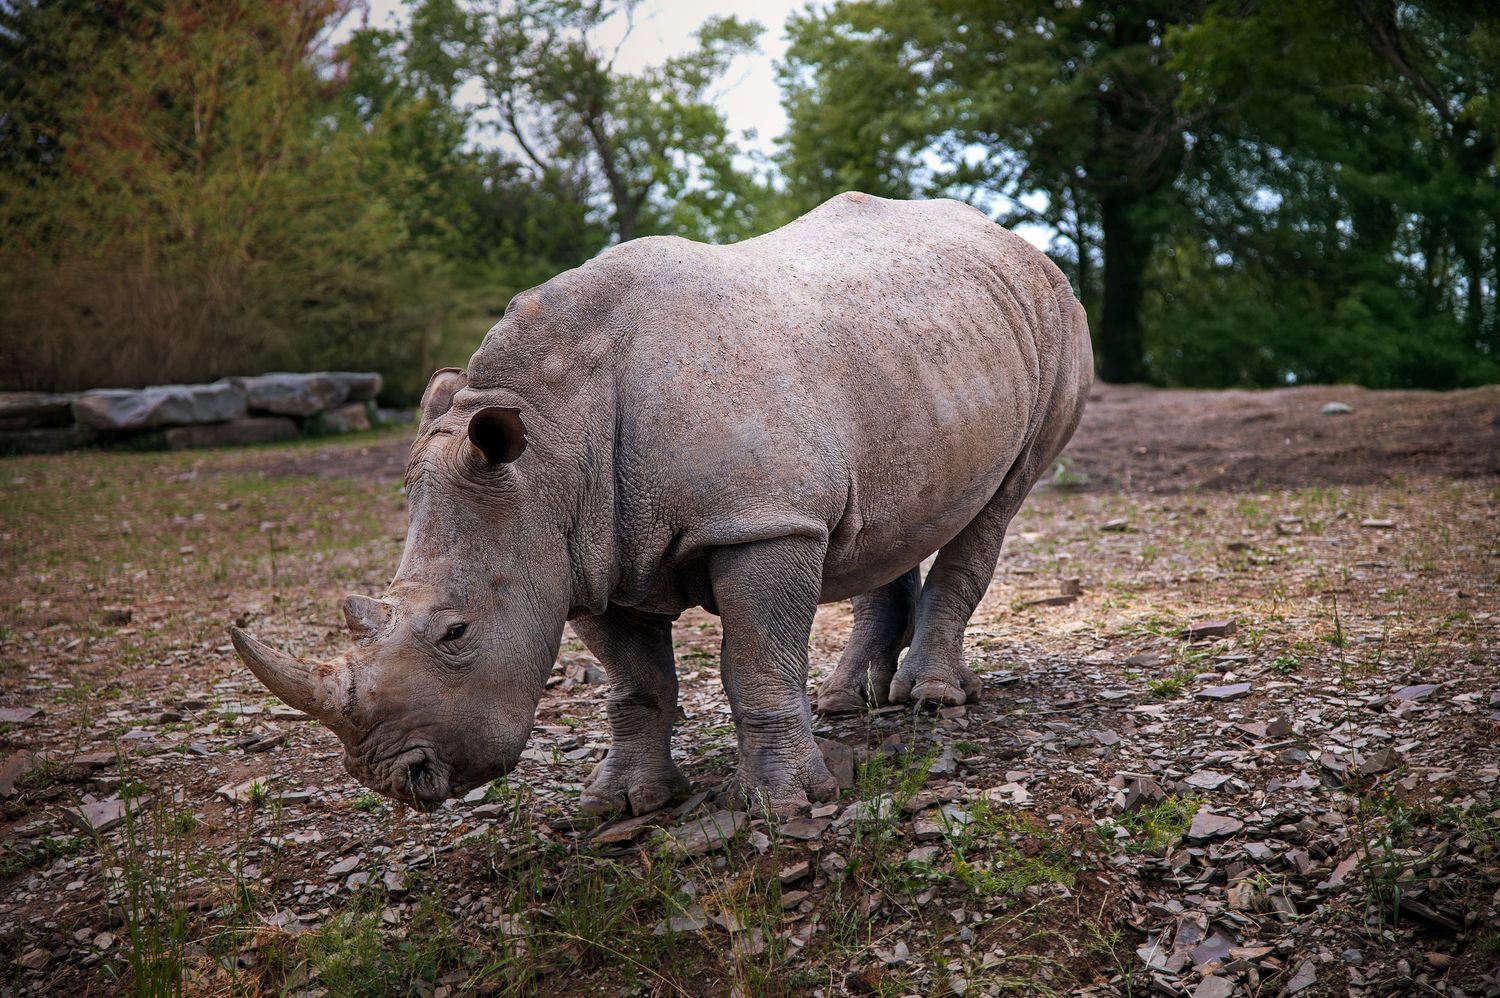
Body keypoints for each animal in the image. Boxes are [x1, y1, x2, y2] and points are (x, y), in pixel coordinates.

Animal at [230, 193, 1092, 815]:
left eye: (455, 632)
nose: (391, 778)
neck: (550, 444)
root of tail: (1010, 238)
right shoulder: (586, 550)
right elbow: (636, 682)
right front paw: (623, 806)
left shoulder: (760, 521)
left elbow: (757, 662)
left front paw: (785, 805)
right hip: (920, 350)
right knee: (892, 518)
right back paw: (847, 702)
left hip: (1056, 320)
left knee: (1000, 500)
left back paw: (933, 700)